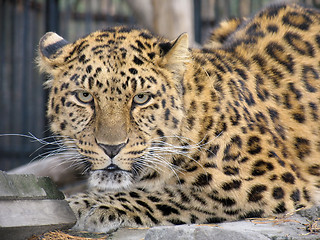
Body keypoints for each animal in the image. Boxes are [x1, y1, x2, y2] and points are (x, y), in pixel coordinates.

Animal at [38, 2, 320, 233]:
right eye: (85, 96)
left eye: (141, 98)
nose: (111, 148)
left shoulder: (271, 182)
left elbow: (174, 194)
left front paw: (82, 204)